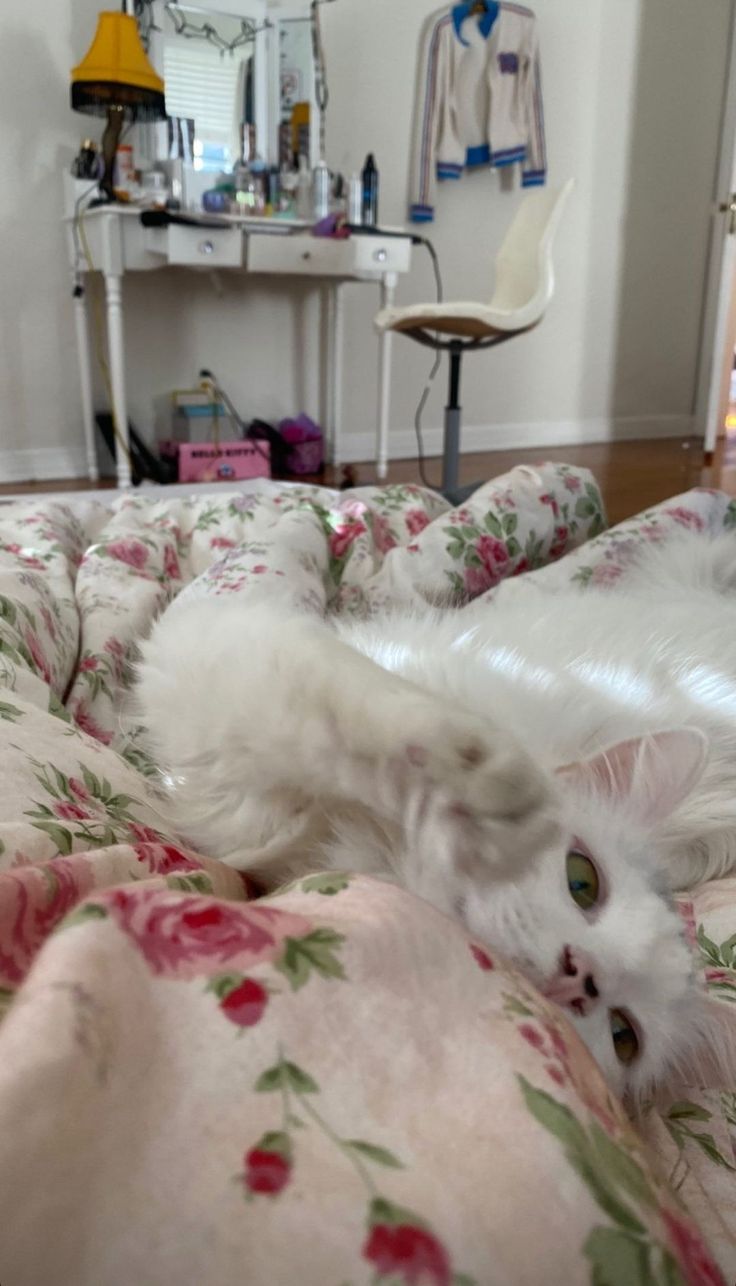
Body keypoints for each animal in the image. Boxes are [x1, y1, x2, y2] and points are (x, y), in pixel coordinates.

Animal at [135, 527, 736, 1100]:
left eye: (622, 1036)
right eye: (582, 881)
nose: (581, 978)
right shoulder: (217, 655)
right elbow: (358, 707)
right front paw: (478, 774)